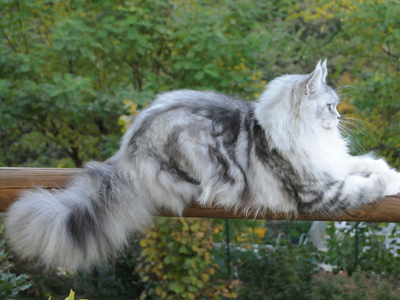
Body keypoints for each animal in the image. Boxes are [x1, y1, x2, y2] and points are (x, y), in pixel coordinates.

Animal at [3, 59, 400, 268]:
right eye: (331, 106)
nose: (340, 117)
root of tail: (127, 149)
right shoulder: (317, 192)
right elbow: (363, 185)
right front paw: (385, 185)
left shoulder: (332, 164)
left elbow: (367, 164)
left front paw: (393, 176)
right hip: (191, 145)